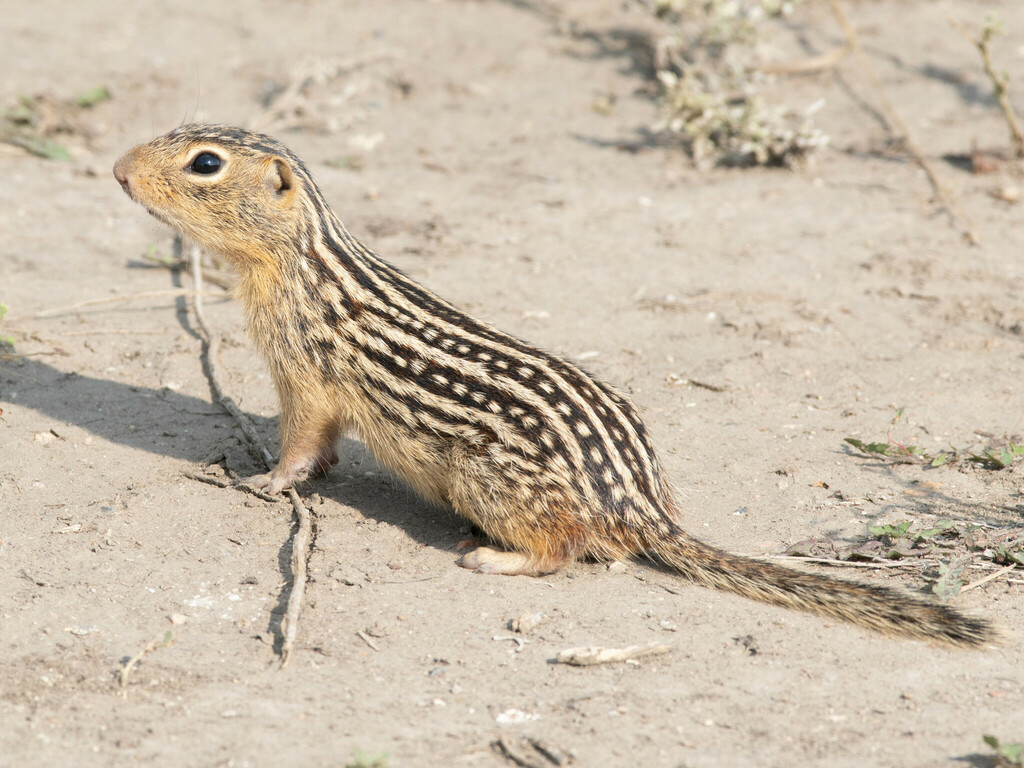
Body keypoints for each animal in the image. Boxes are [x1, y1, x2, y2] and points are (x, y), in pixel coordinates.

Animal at [113, 124, 996, 648]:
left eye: (204, 164)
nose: (117, 169)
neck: (300, 262)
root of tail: (641, 504)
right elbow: (321, 452)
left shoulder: (304, 377)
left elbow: (300, 446)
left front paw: (259, 480)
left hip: (492, 485)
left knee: (562, 551)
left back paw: (492, 561)